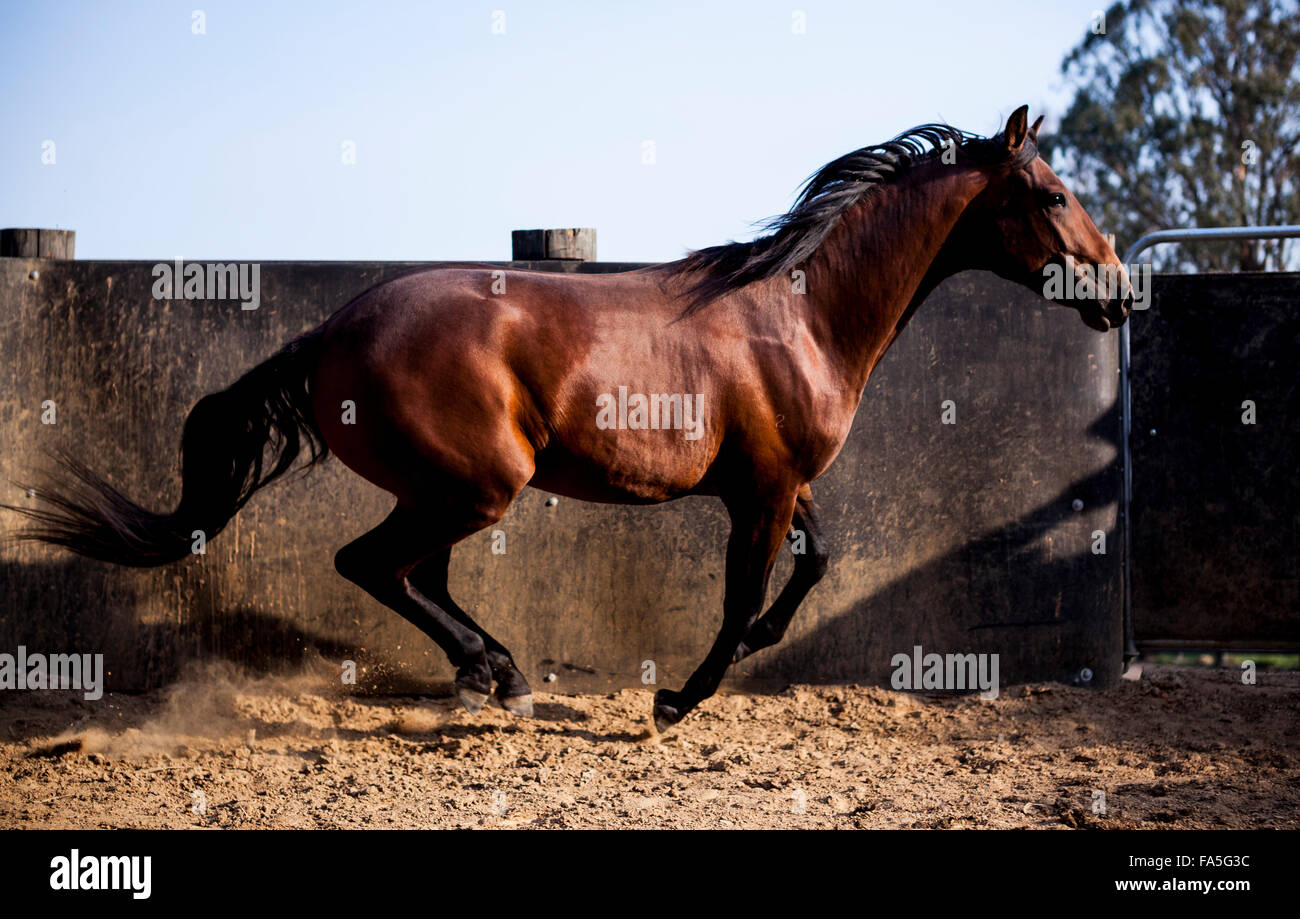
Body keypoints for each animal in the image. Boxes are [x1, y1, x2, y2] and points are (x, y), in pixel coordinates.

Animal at [7, 102, 1128, 733]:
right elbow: (739, 598)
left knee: (413, 576)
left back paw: (493, 674)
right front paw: (677, 700)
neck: (797, 311)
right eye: (1050, 193)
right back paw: (496, 674)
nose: (1118, 292)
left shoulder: (778, 483)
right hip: (478, 485)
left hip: (446, 492)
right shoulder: (760, 492)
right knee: (372, 566)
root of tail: (331, 330)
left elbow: (818, 563)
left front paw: (755, 646)